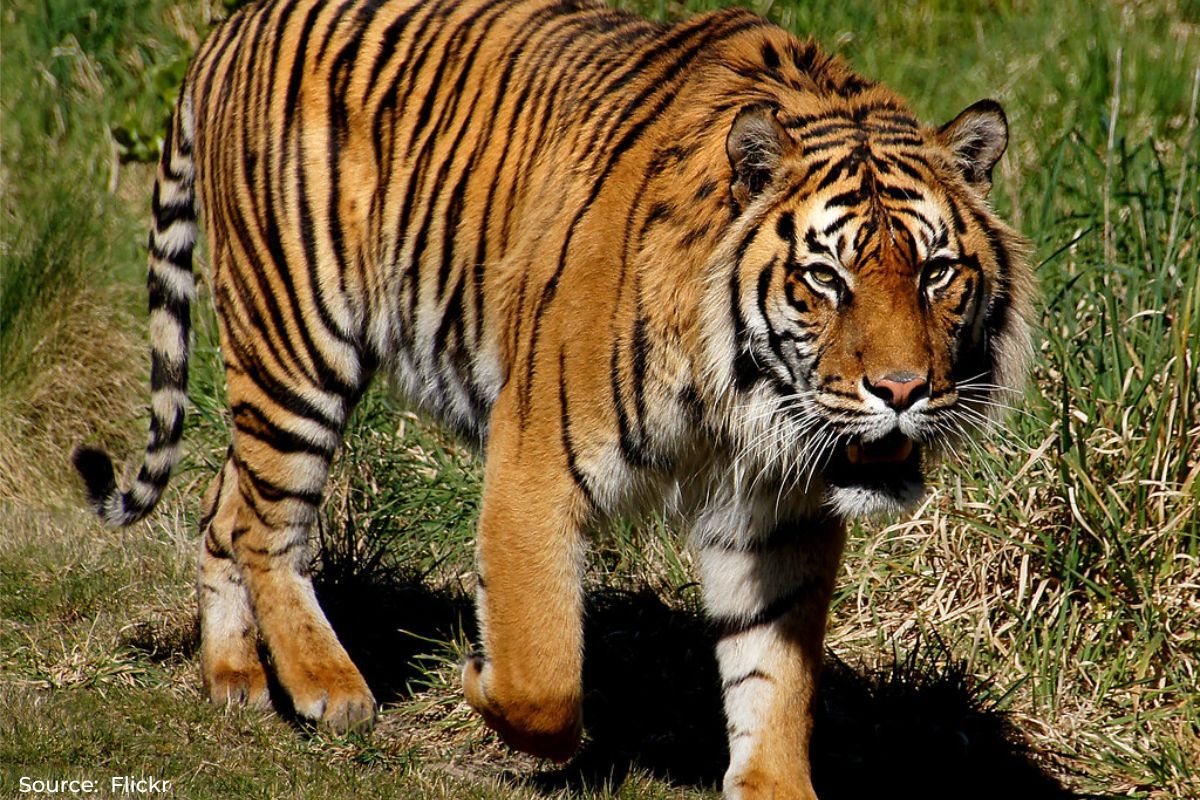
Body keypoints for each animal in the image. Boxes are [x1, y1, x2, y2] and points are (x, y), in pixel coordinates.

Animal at [73, 0, 1034, 796]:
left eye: (937, 272)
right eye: (826, 278)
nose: (903, 390)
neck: (745, 401)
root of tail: (232, 25)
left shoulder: (777, 513)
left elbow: (774, 672)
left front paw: (773, 786)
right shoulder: (536, 459)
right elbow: (544, 675)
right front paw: (476, 681)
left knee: (223, 503)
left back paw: (233, 677)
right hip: (298, 338)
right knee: (266, 525)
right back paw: (327, 688)